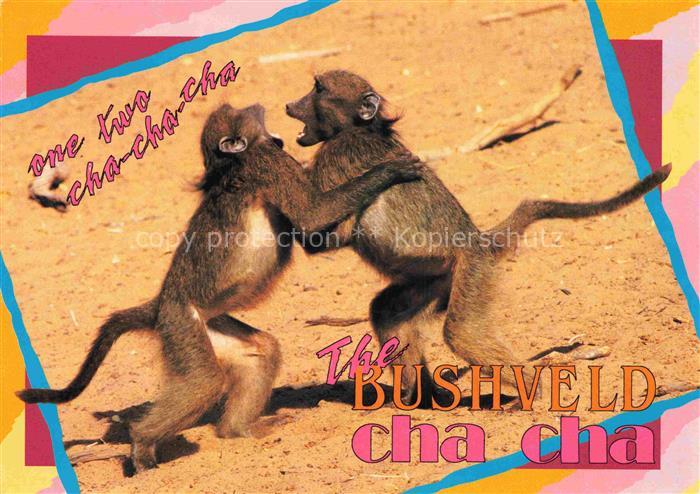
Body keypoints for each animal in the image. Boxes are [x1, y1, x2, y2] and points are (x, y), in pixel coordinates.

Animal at [17, 103, 424, 472]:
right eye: (244, 113)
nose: (260, 105)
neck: (231, 165)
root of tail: (161, 302)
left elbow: (311, 232)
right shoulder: (267, 162)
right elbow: (312, 216)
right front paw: (390, 170)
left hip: (207, 324)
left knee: (261, 351)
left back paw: (237, 432)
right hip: (181, 322)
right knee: (205, 382)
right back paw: (142, 446)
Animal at [285, 70, 671, 405]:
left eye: (318, 89)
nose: (290, 105)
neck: (361, 128)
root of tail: (479, 241)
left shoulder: (335, 157)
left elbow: (317, 231)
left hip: (473, 270)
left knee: (462, 332)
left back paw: (531, 396)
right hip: (437, 279)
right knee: (386, 313)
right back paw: (422, 400)